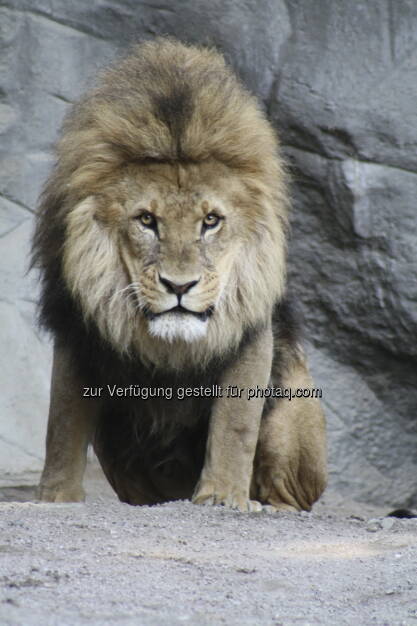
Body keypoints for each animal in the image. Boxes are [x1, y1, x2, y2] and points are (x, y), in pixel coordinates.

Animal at [31, 37, 324, 512]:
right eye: (147, 220)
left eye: (211, 221)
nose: (180, 286)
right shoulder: (77, 322)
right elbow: (63, 421)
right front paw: (56, 497)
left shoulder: (247, 326)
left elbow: (236, 423)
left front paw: (223, 496)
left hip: (294, 408)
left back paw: (264, 504)